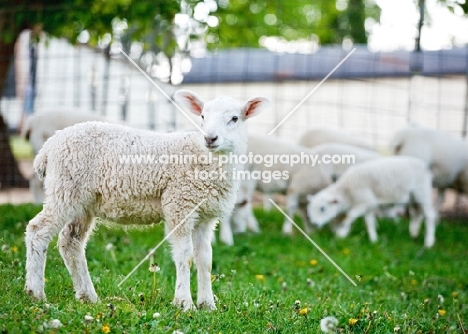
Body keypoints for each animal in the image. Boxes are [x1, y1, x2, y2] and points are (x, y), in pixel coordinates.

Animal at [25, 89, 272, 310]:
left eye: (234, 118)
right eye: (202, 116)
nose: (210, 138)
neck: (205, 159)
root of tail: (49, 147)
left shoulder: (205, 216)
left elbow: (205, 260)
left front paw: (207, 304)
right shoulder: (179, 206)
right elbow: (185, 256)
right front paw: (185, 303)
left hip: (82, 202)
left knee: (71, 242)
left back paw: (88, 296)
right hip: (66, 189)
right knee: (38, 230)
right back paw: (35, 293)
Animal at [308, 155, 436, 247]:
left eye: (322, 208)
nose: (314, 224)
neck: (347, 190)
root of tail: (423, 165)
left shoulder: (365, 200)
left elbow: (351, 215)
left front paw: (342, 232)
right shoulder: (369, 204)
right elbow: (369, 221)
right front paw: (374, 239)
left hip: (422, 191)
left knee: (429, 215)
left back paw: (429, 242)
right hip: (412, 197)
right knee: (417, 213)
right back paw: (414, 233)